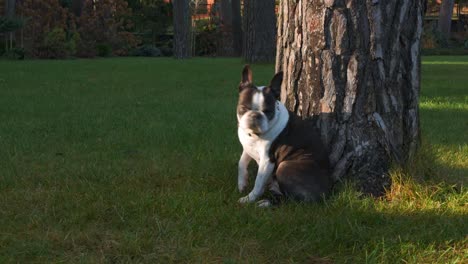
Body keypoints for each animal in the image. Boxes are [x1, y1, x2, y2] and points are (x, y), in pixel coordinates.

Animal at [236, 64, 330, 206]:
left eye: (268, 111)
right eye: (244, 108)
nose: (255, 115)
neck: (253, 135)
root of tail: (327, 192)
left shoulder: (267, 161)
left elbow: (258, 182)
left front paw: (249, 199)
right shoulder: (247, 147)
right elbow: (241, 163)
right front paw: (242, 184)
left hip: (284, 166)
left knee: (292, 200)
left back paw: (266, 203)